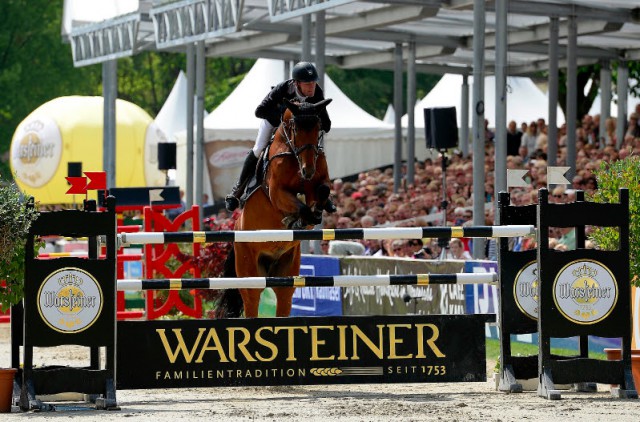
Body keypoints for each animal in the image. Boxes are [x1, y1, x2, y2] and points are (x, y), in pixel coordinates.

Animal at [220, 99, 332, 316]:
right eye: (295, 129)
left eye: (318, 128)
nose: (307, 170)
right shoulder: (277, 192)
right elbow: (301, 208)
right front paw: (294, 220)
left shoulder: (315, 185)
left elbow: (321, 192)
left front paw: (309, 216)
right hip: (249, 269)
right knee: (252, 299)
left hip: (287, 271)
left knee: (283, 295)